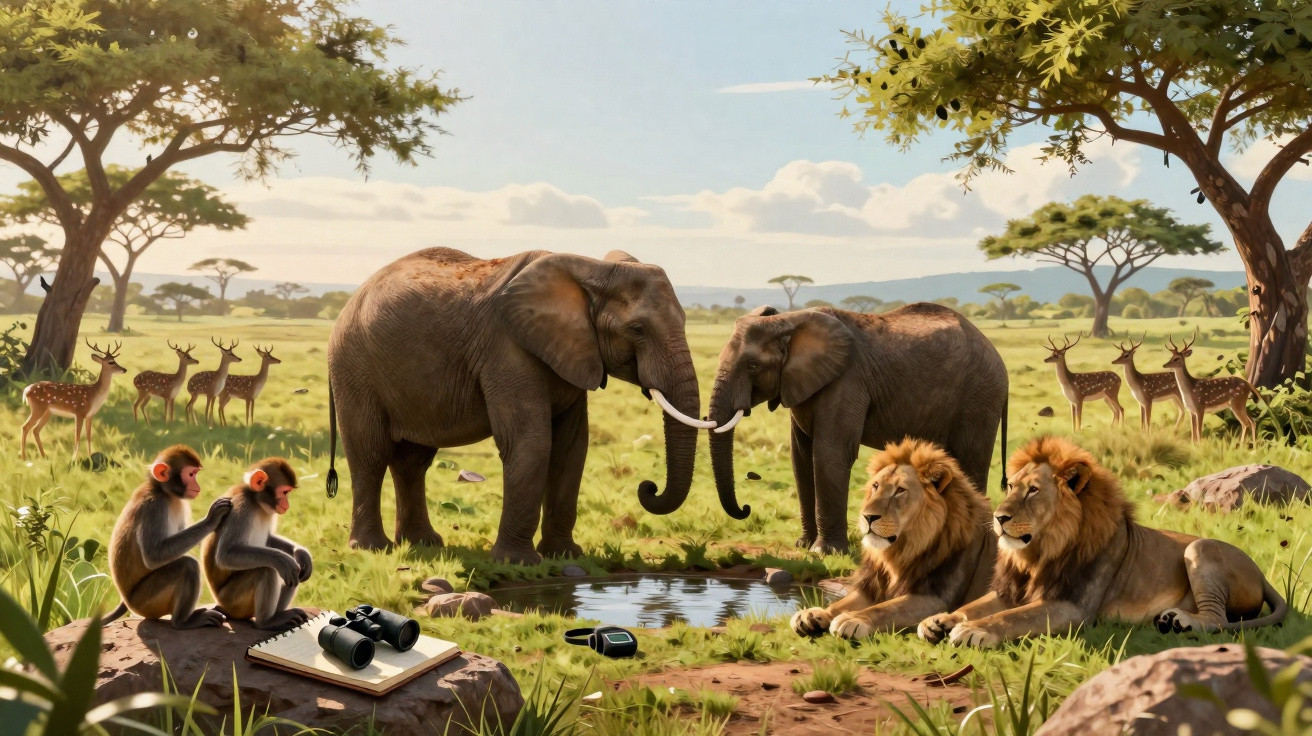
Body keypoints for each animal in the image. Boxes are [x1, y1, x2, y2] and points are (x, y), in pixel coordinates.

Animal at [326, 247, 715, 564]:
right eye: (637, 329)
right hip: (354, 369)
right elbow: (531, 443)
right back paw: (372, 548)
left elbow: (571, 448)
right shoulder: (507, 349)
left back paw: (423, 544)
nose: (648, 487)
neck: (592, 268)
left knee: (412, 461)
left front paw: (564, 555)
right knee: (370, 454)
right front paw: (518, 563)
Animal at [708, 303, 1008, 554]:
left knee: (970, 462)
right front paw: (804, 546)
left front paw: (825, 552)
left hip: (981, 396)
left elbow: (830, 454)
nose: (746, 508)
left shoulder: (847, 380)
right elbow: (801, 458)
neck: (789, 321)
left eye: (753, 365)